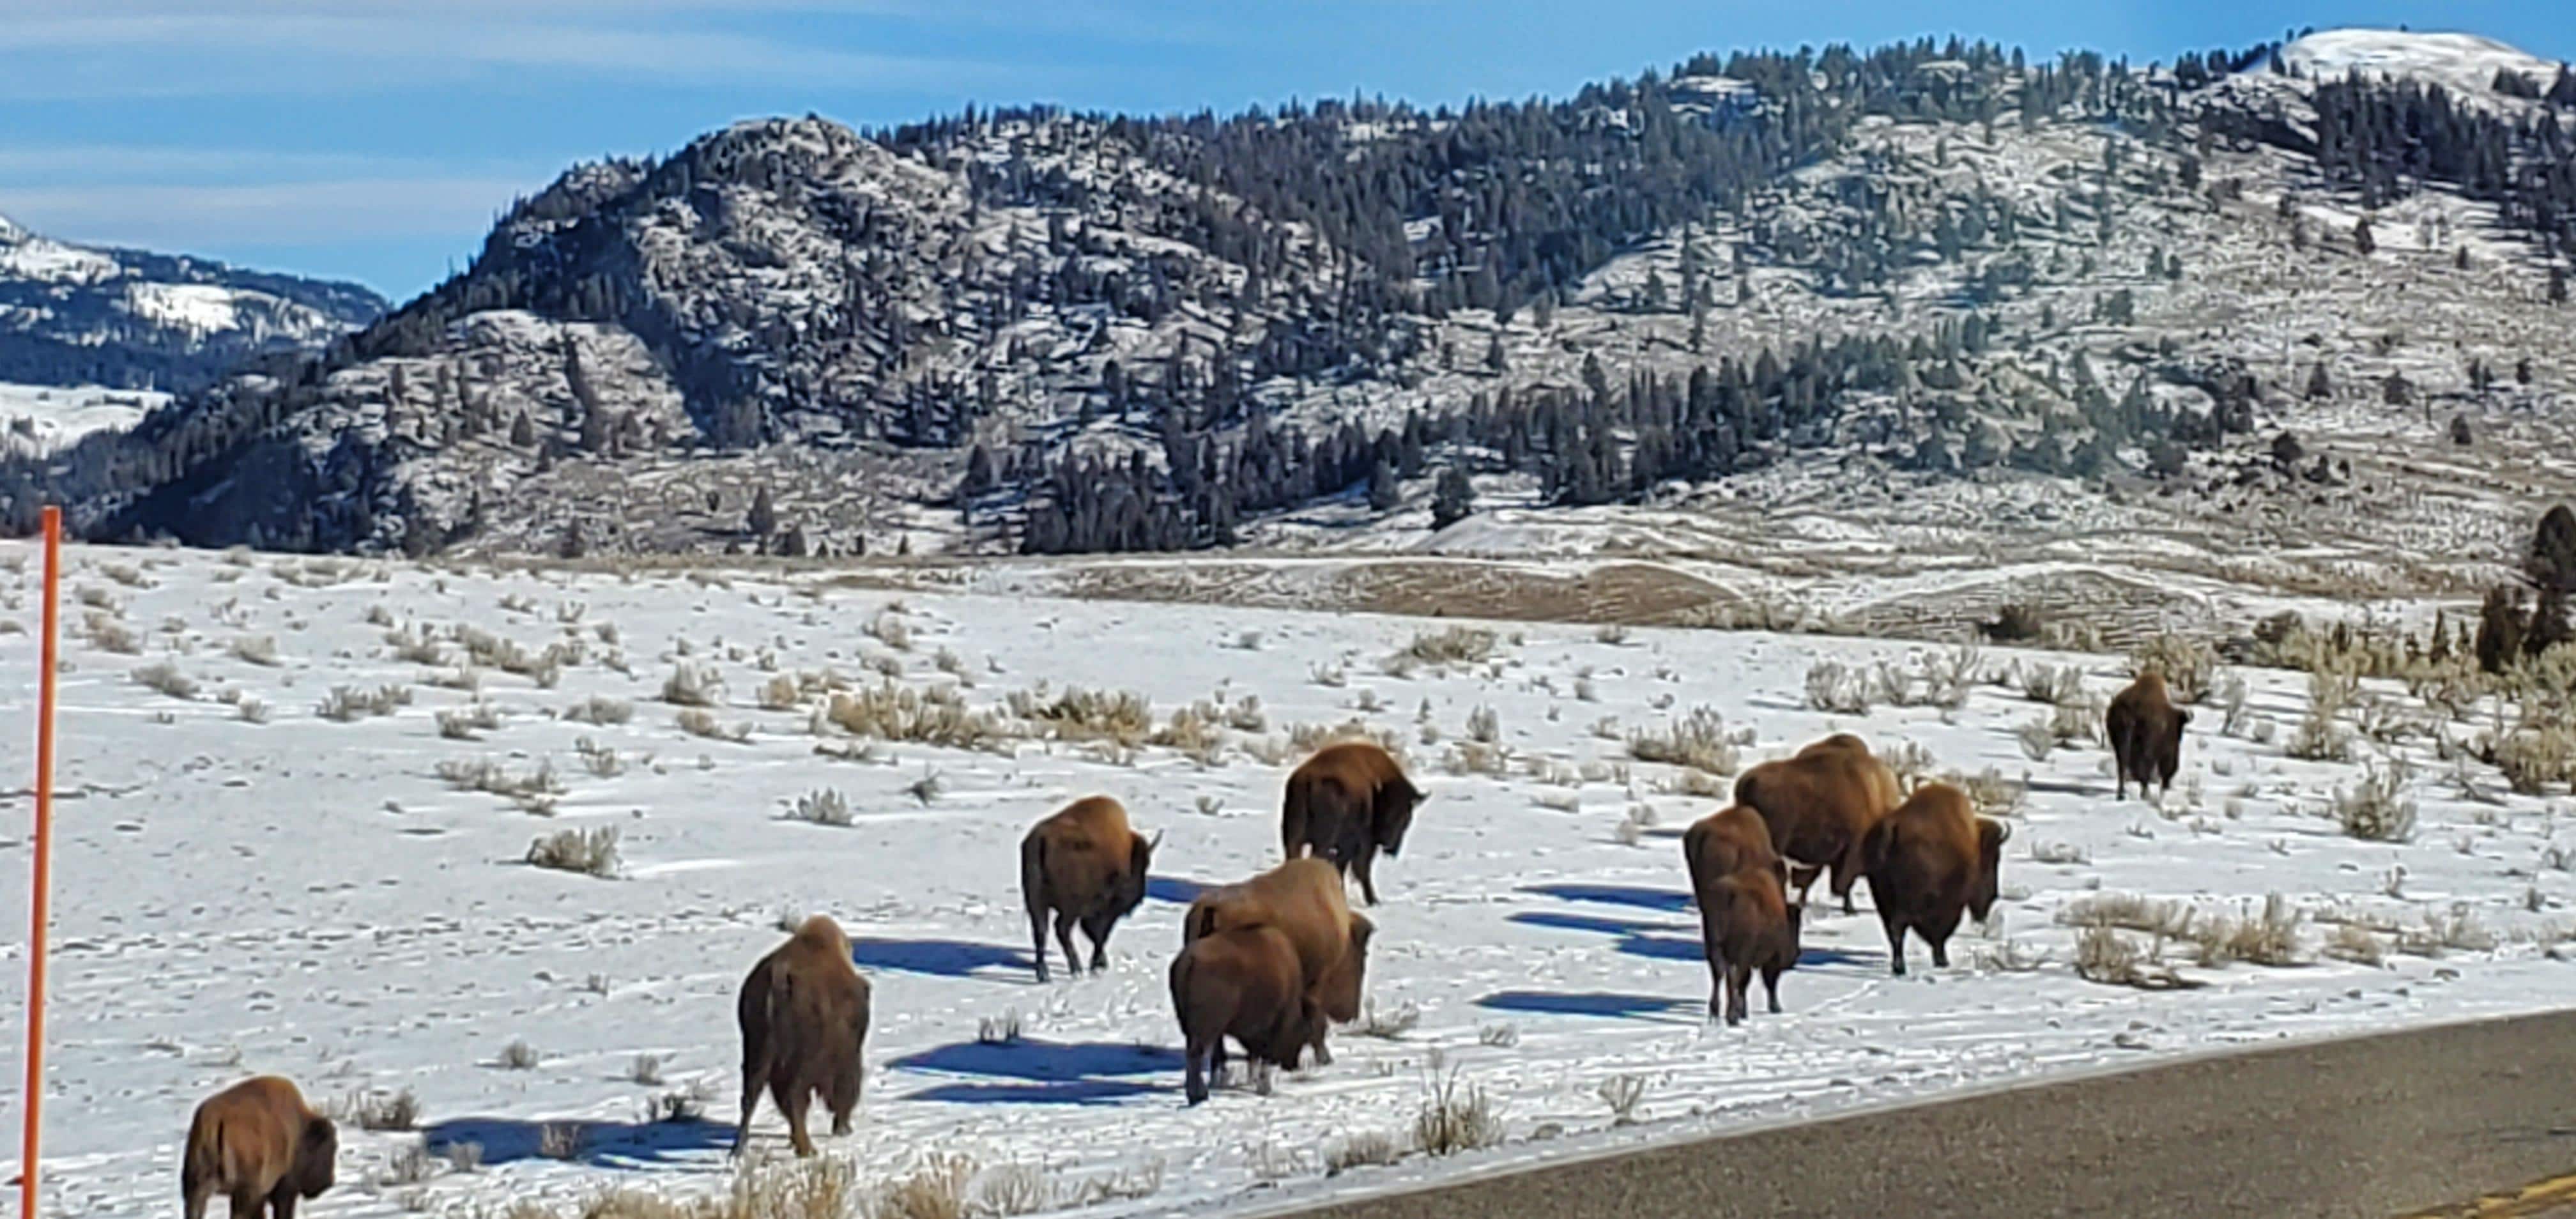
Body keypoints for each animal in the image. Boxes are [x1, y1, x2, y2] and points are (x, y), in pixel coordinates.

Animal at [182, 1076, 337, 1219]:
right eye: (331, 1148)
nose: (329, 1182)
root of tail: (214, 1120)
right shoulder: (284, 1189)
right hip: (245, 1192)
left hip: (196, 1188)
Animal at [736, 914, 873, 1157]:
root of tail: (779, 977)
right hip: (800, 1063)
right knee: (794, 1098)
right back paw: (807, 1148)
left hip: (756, 1054)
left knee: (751, 1098)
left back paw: (739, 1150)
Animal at [1021, 795, 1161, 982]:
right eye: (1144, 865)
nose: (1139, 898)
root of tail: (1041, 840)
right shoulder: (1105, 909)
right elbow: (1100, 934)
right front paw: (1099, 965)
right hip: (1069, 909)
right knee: (1061, 929)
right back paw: (1076, 970)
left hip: (1036, 903)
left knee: (1041, 932)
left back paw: (1044, 974)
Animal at [1281, 741, 1422, 905]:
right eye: (1406, 815)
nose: (1389, 845)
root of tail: (1309, 780)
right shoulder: (1362, 844)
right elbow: (1360, 868)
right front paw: (1373, 901)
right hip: (1325, 841)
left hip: (1293, 839)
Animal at [1860, 782, 2010, 975]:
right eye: (1993, 858)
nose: (1994, 894)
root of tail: (1892, 828)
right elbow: (1941, 932)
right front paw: (1942, 961)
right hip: (1906, 901)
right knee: (1898, 927)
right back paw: (1901, 967)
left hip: (1882, 897)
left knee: (1892, 930)